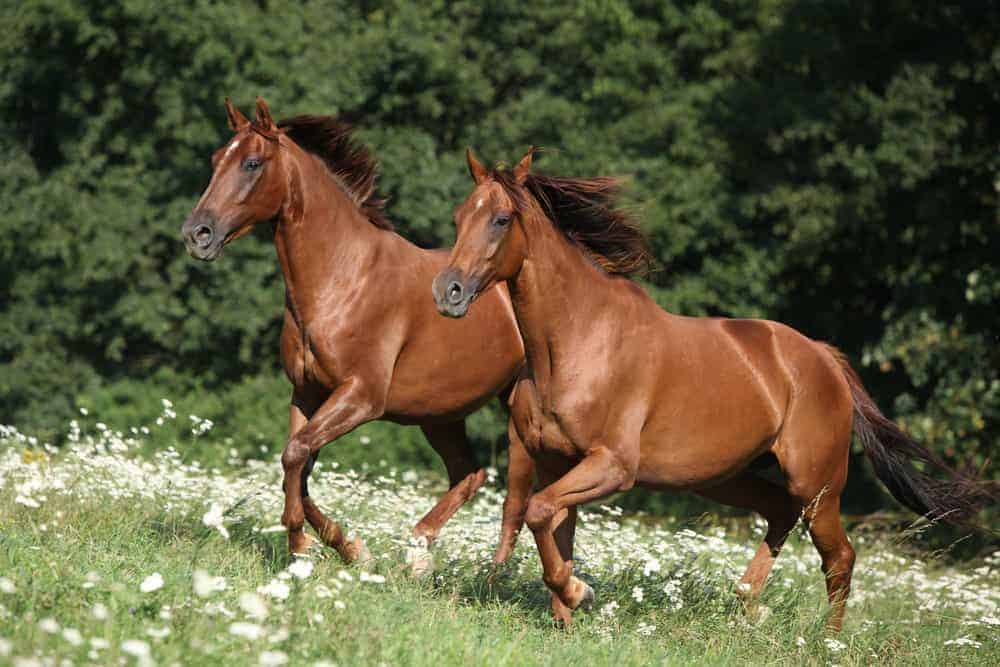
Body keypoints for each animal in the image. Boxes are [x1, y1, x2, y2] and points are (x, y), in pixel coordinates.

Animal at [181, 98, 534, 566]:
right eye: (216, 159)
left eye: (252, 163)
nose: (196, 235)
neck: (343, 278)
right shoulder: (308, 392)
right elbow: (298, 465)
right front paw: (345, 547)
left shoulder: (360, 396)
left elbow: (295, 455)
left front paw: (304, 544)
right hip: (439, 413)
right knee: (470, 473)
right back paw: (418, 552)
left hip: (518, 410)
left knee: (517, 495)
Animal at [432, 147, 995, 630]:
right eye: (459, 217)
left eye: (501, 219)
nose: (448, 292)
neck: (576, 343)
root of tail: (824, 359)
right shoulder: (556, 464)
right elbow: (549, 526)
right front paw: (568, 613)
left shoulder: (612, 467)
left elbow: (539, 514)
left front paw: (580, 593)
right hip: (725, 477)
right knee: (780, 514)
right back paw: (747, 606)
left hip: (817, 487)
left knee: (839, 557)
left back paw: (827, 640)